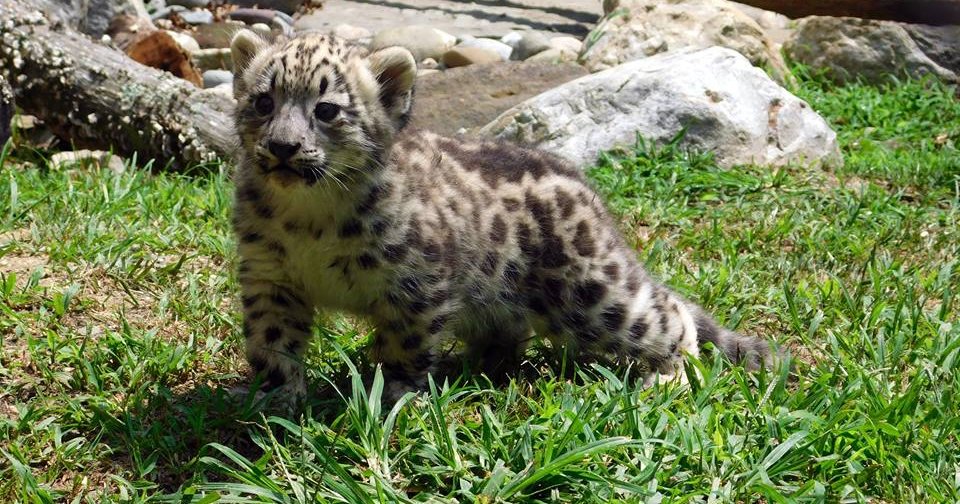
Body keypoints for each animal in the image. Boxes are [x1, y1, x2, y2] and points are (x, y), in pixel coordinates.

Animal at [228, 29, 774, 405]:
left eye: (326, 110)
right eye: (262, 101)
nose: (283, 146)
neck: (309, 219)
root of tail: (589, 194)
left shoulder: (418, 284)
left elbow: (404, 346)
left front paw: (392, 396)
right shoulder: (270, 275)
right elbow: (272, 340)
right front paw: (276, 398)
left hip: (592, 295)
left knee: (668, 313)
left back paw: (667, 378)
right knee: (510, 337)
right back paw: (472, 368)